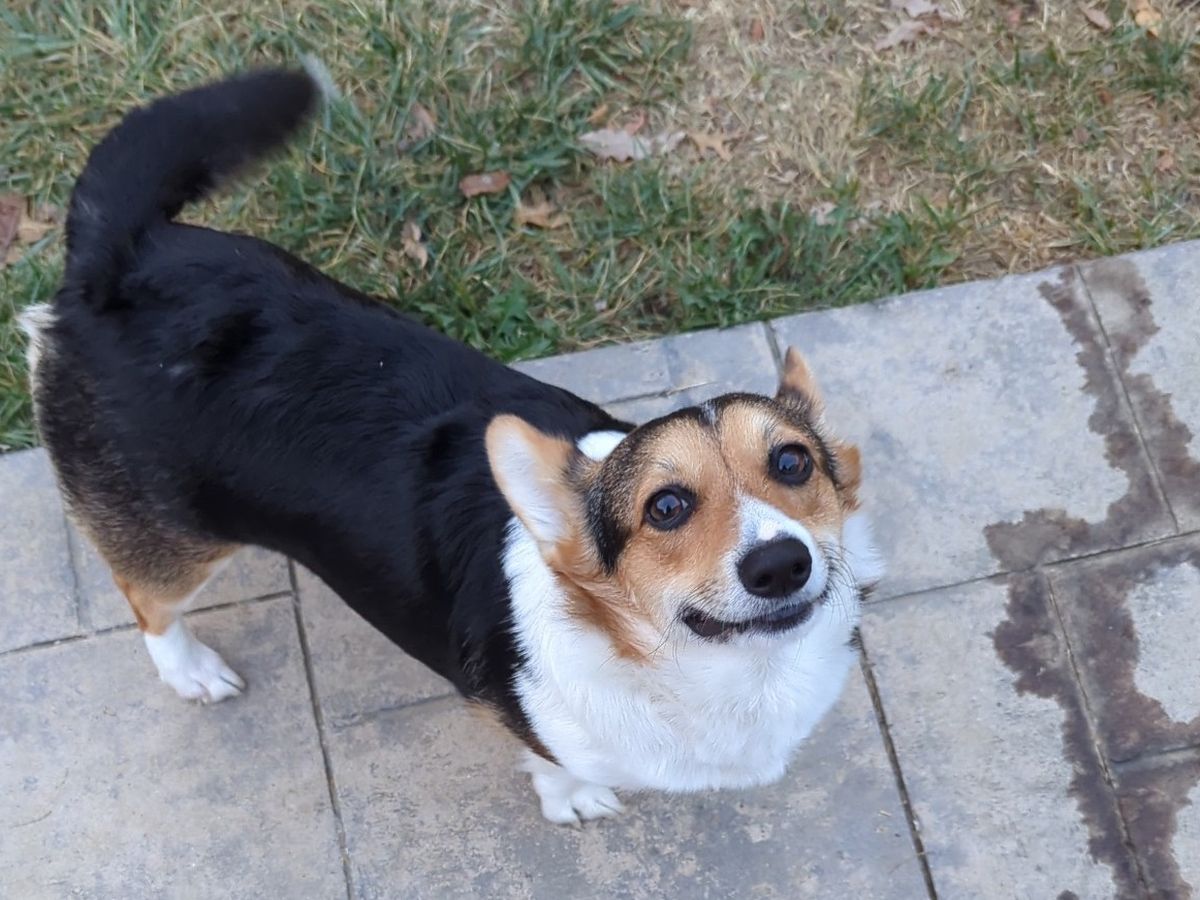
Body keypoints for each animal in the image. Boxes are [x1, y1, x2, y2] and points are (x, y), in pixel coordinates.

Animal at [22, 69, 882, 824]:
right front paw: (573, 801)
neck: (716, 674)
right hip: (176, 543)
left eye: (792, 462)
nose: (780, 564)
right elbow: (550, 765)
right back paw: (192, 670)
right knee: (146, 599)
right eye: (666, 507)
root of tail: (120, 256)